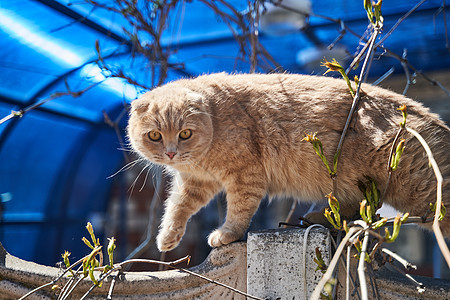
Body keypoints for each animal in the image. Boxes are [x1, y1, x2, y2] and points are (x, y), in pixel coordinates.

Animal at [127, 73, 450, 251]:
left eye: (185, 133)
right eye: (155, 135)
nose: (171, 153)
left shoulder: (245, 176)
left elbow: (239, 211)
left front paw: (227, 234)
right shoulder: (195, 183)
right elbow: (177, 207)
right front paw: (167, 237)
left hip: (425, 195)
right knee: (354, 206)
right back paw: (320, 218)